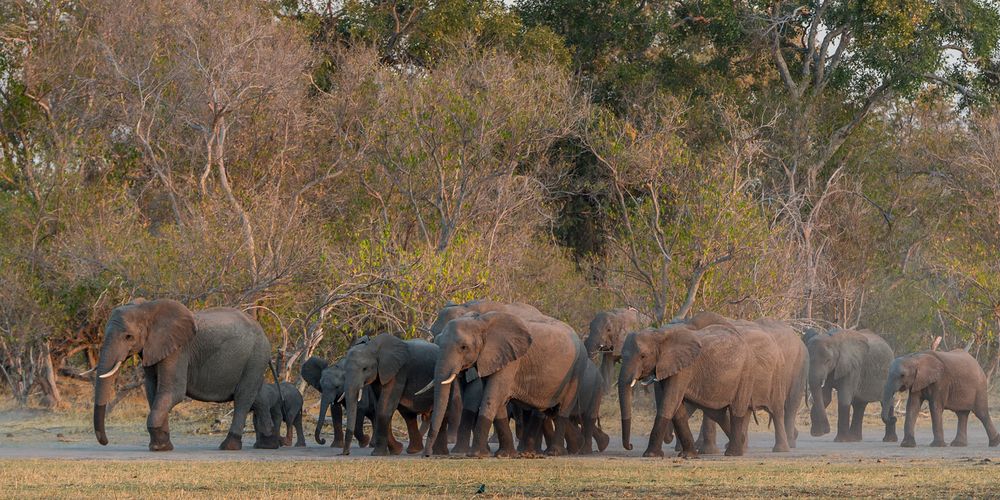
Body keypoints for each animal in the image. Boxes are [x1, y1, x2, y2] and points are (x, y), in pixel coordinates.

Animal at [94, 298, 274, 452]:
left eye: (128, 336)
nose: (106, 442)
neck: (148, 309)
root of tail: (263, 332)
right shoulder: (153, 348)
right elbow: (153, 391)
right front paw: (163, 446)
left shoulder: (178, 350)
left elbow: (172, 392)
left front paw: (158, 448)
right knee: (257, 398)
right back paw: (267, 445)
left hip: (256, 358)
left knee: (243, 398)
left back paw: (229, 446)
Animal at [420, 312, 584, 458]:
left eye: (463, 347)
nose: (426, 455)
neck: (481, 322)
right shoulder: (492, 359)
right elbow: (497, 401)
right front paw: (505, 455)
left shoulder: (510, 360)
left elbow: (493, 396)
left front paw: (476, 455)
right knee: (545, 411)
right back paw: (530, 453)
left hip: (575, 370)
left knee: (563, 410)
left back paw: (554, 453)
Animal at [612, 324, 752, 458]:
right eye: (621, 357)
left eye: (643, 356)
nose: (630, 446)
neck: (660, 335)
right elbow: (677, 408)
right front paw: (689, 456)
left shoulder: (684, 368)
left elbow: (670, 402)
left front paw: (650, 455)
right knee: (717, 413)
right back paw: (741, 444)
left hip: (745, 373)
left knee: (736, 409)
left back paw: (734, 452)